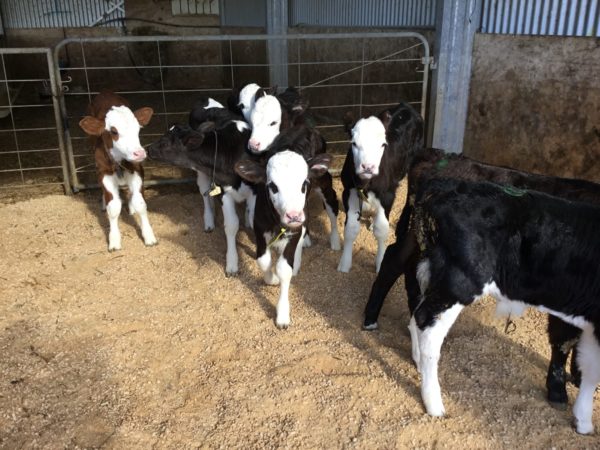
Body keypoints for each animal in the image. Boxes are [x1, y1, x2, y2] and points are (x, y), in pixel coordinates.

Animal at [78, 89, 156, 251]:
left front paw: (149, 236)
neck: (119, 161)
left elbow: (140, 203)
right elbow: (113, 207)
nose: (139, 153)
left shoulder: (137, 169)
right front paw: (114, 240)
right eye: (114, 131)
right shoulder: (103, 172)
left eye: (138, 129)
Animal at [234, 151, 332, 326]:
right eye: (273, 186)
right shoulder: (259, 228)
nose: (293, 216)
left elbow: (284, 269)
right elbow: (263, 261)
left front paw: (282, 314)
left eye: (304, 183)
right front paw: (271, 279)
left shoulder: (295, 229)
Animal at [338, 103, 422, 272]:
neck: (365, 183)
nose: (368, 167)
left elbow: (382, 230)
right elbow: (350, 228)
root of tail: (406, 106)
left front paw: (380, 262)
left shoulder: (387, 194)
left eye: (383, 144)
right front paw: (345, 263)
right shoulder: (348, 190)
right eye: (353, 143)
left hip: (413, 164)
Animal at [410, 177, 600, 436]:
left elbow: (590, 369)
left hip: (434, 273)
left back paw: (418, 362)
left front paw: (583, 421)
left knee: (416, 314)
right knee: (428, 325)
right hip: (461, 280)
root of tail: (448, 187)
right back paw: (434, 404)